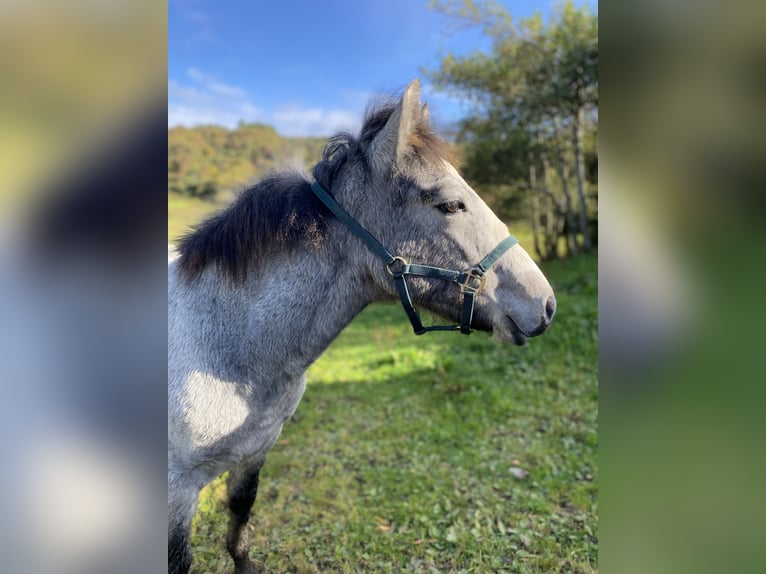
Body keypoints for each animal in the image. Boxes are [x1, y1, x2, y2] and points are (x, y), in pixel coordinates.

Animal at [170, 80, 560, 574]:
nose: (545, 303)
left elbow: (240, 527)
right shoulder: (177, 491)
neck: (229, 350)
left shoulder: (253, 455)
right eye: (450, 204)